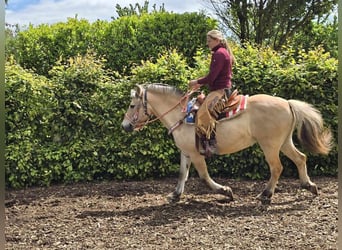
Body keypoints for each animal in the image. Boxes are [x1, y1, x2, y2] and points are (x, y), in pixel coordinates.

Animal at [120, 83, 332, 204]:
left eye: (132, 105)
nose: (125, 126)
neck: (181, 115)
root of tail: (287, 103)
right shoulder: (186, 152)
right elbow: (182, 174)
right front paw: (175, 195)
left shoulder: (196, 154)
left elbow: (204, 176)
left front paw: (226, 191)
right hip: (284, 142)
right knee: (300, 158)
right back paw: (309, 186)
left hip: (270, 145)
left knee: (277, 167)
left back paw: (266, 195)